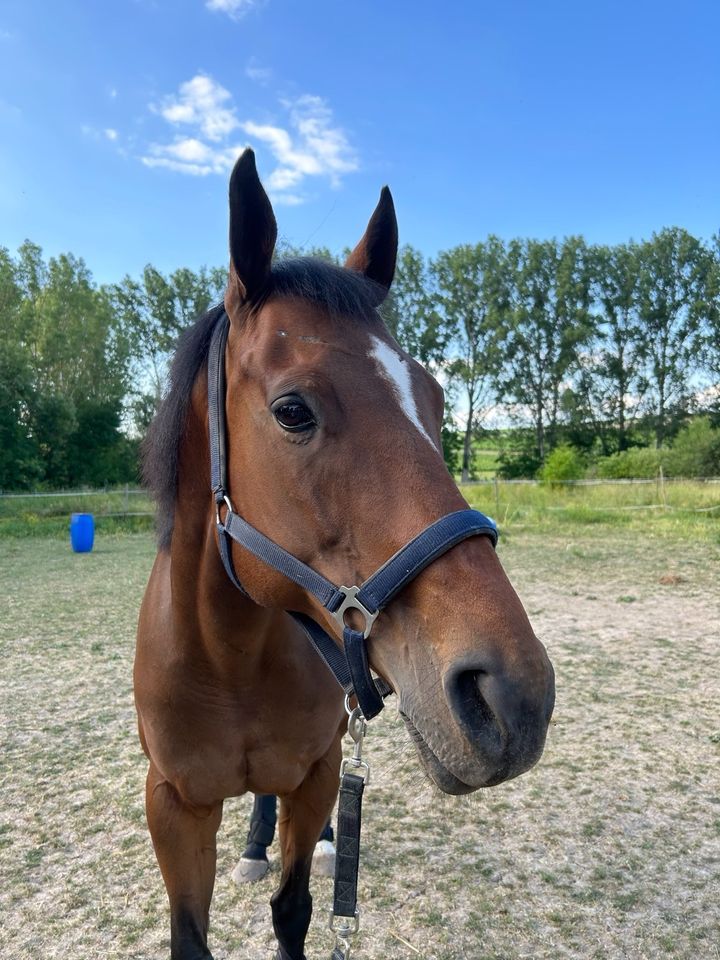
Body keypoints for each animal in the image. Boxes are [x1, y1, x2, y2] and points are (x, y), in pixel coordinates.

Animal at [135, 150, 556, 960]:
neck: (228, 655)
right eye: (292, 410)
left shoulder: (317, 773)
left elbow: (295, 908)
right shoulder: (173, 805)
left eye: (433, 397)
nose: (514, 697)